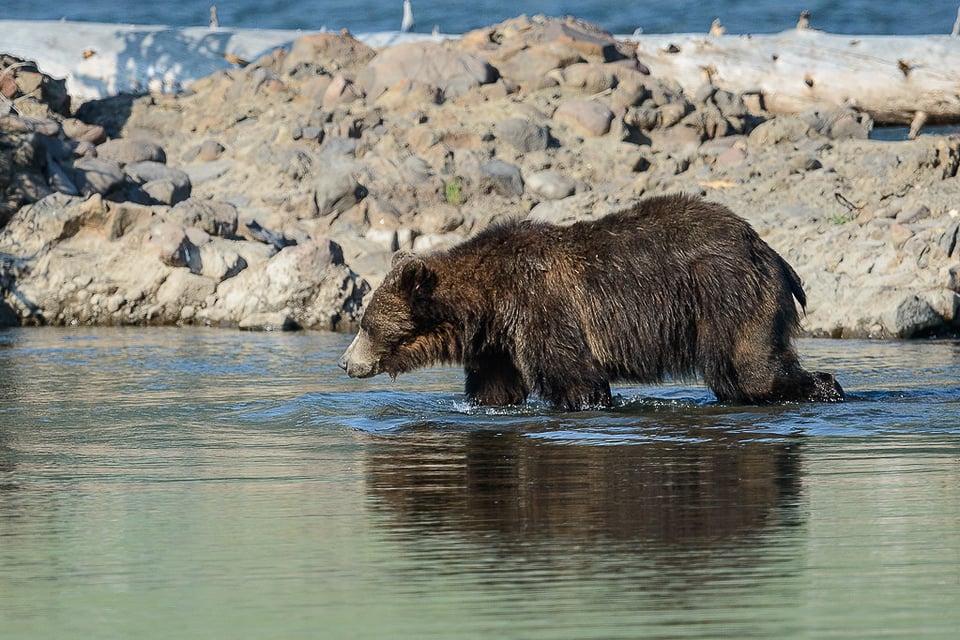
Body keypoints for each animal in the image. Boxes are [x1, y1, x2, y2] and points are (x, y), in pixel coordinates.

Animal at [336, 192, 840, 410]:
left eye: (364, 324)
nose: (344, 362)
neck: (485, 304)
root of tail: (769, 250)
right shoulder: (500, 342)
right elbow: (496, 389)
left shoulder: (540, 305)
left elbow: (574, 377)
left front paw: (586, 400)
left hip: (724, 293)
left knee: (751, 368)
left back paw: (823, 387)